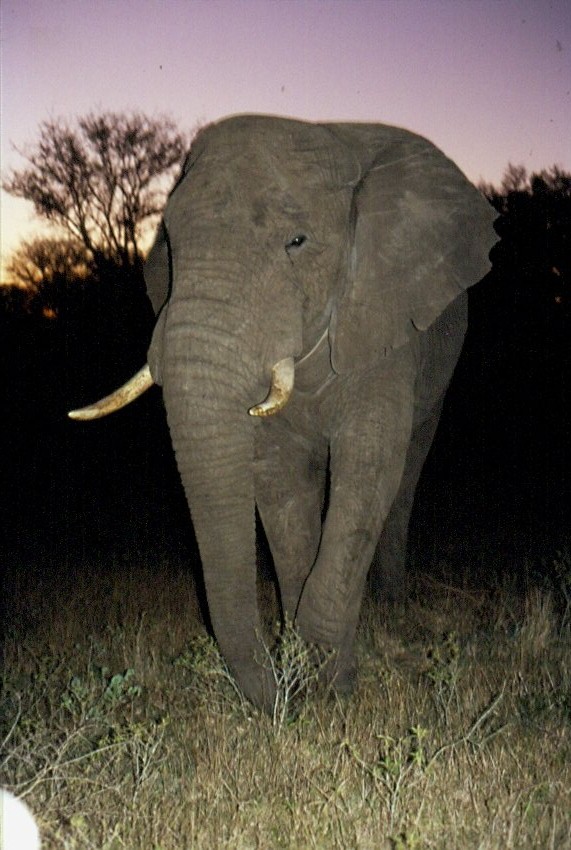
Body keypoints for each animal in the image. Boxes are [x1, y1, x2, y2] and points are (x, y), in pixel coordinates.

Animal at [69, 114, 498, 708]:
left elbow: (369, 463)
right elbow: (277, 479)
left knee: (407, 469)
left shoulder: (383, 318)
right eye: (172, 249)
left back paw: (392, 605)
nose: (277, 696)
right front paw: (312, 671)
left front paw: (326, 684)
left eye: (298, 242)